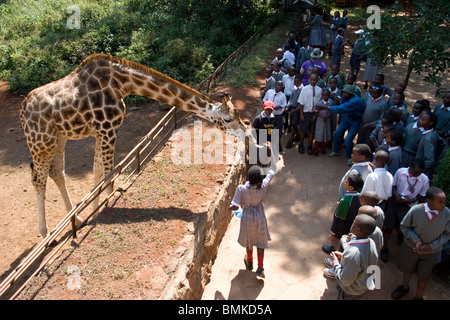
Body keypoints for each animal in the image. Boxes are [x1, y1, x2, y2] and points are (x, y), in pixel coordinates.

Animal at [19, 53, 248, 238]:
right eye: (228, 119)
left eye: (238, 114)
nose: (247, 131)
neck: (121, 84)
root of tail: (22, 113)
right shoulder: (107, 128)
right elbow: (108, 175)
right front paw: (106, 207)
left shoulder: (100, 131)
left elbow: (97, 171)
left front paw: (94, 211)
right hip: (41, 141)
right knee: (38, 179)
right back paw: (46, 234)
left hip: (59, 138)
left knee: (57, 172)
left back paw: (74, 218)